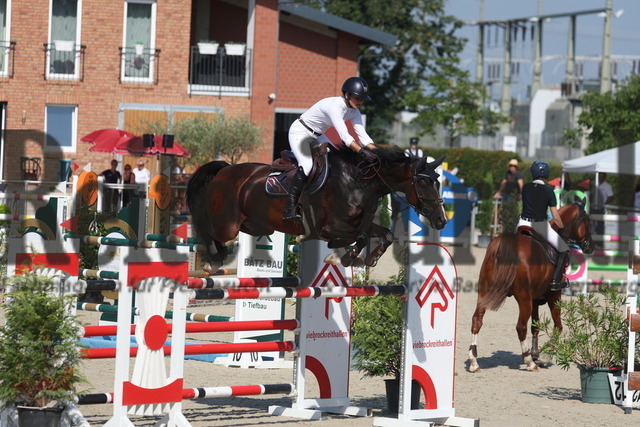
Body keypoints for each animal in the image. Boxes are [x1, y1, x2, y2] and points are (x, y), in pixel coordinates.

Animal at [185, 144, 448, 270]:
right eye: (423, 182)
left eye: (438, 181)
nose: (441, 220)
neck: (359, 182)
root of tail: (224, 169)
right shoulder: (327, 227)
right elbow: (360, 237)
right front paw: (341, 257)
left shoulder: (360, 224)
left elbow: (385, 235)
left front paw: (367, 259)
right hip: (227, 224)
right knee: (207, 230)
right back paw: (212, 260)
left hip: (255, 224)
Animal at [468, 202, 592, 372]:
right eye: (587, 221)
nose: (590, 246)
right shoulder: (555, 295)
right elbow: (558, 326)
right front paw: (544, 355)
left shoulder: (535, 300)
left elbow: (535, 326)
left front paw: (536, 355)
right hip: (524, 299)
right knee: (520, 327)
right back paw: (529, 362)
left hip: (484, 293)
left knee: (477, 320)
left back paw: (474, 361)